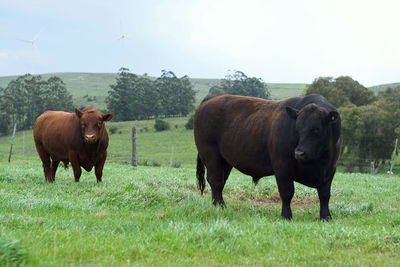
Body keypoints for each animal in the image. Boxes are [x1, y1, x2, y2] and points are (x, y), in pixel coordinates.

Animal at [194, 93, 340, 220]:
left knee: (220, 181)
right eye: (297, 128)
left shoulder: (330, 169)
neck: (319, 161)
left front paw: (326, 217)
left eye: (316, 129)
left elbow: (324, 195)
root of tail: (212, 98)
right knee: (216, 181)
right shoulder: (282, 167)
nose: (299, 153)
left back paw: (218, 205)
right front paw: (286, 216)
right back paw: (220, 207)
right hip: (210, 155)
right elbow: (287, 192)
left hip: (225, 160)